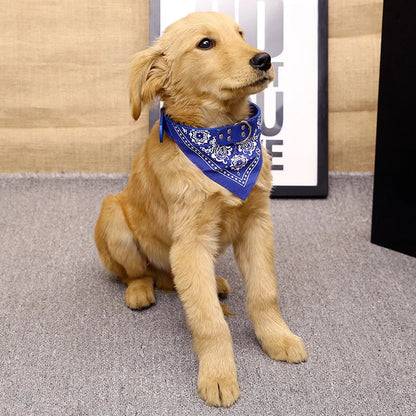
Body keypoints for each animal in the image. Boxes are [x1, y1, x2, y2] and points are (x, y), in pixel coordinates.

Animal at [96, 12, 308, 406]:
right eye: (205, 43)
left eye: (241, 34)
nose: (264, 59)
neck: (223, 139)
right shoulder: (190, 243)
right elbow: (210, 321)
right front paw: (219, 375)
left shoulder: (257, 223)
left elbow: (264, 293)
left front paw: (278, 337)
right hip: (113, 213)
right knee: (140, 273)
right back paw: (140, 291)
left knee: (173, 279)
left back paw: (217, 282)